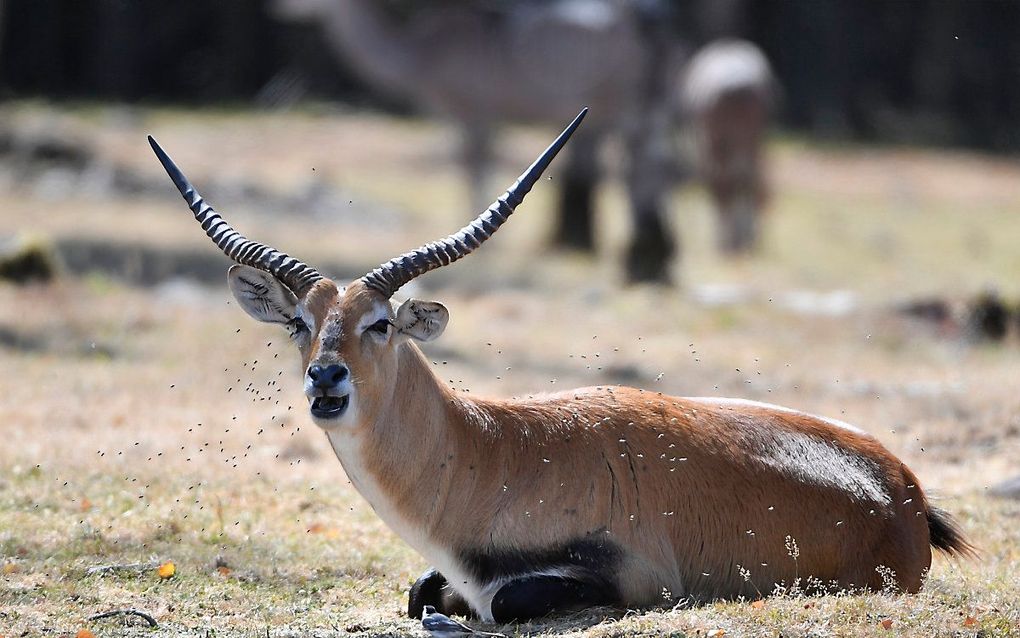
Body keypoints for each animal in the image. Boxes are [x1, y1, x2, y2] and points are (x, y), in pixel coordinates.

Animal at [147, 109, 966, 620]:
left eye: (380, 324)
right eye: (300, 322)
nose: (325, 378)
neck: (496, 451)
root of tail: (902, 486)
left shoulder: (634, 576)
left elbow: (501, 599)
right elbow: (424, 590)